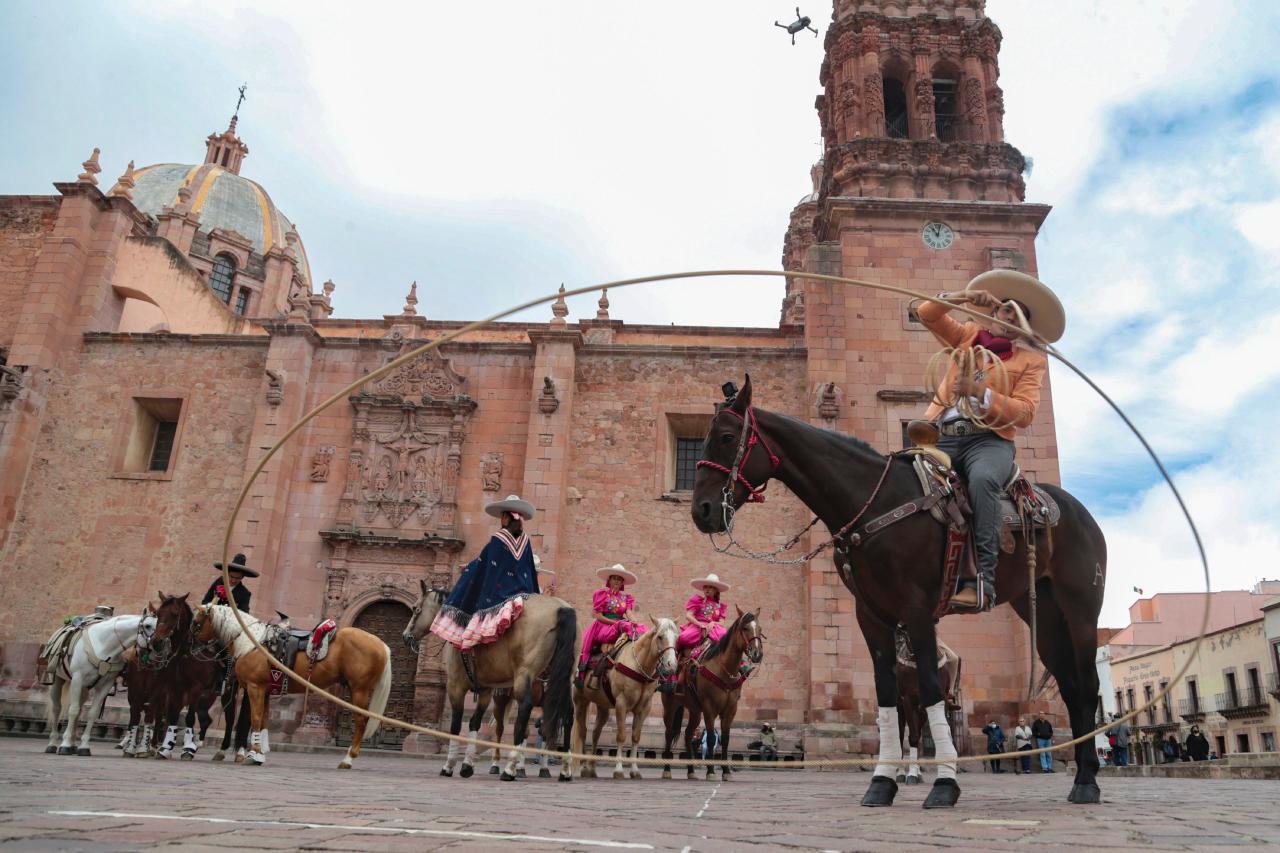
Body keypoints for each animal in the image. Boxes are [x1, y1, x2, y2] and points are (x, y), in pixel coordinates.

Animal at [192, 601, 391, 768]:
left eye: (196, 623)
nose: (191, 649)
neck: (252, 642)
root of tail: (381, 644)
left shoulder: (255, 687)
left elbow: (255, 719)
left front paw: (254, 752)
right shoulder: (265, 690)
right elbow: (263, 721)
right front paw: (259, 754)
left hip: (359, 689)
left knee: (361, 721)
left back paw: (348, 759)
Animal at [404, 581, 576, 778]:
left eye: (416, 608)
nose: (405, 636)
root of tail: (561, 608)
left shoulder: (455, 687)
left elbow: (456, 726)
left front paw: (449, 766)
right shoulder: (485, 690)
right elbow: (474, 723)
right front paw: (467, 765)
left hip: (521, 679)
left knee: (519, 716)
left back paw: (509, 769)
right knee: (566, 715)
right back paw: (564, 770)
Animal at [576, 617, 686, 778]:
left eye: (677, 638)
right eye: (660, 637)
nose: (671, 665)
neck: (639, 666)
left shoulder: (644, 709)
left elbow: (635, 737)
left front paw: (634, 770)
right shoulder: (621, 704)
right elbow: (621, 736)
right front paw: (618, 770)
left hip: (602, 704)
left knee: (595, 732)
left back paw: (591, 768)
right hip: (580, 699)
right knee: (582, 731)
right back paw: (582, 766)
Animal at [660, 604, 757, 778]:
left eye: (759, 629)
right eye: (745, 628)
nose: (757, 653)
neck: (724, 668)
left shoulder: (731, 710)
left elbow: (725, 739)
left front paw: (726, 771)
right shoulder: (709, 708)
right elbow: (711, 738)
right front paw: (711, 771)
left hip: (694, 710)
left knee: (688, 734)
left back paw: (691, 771)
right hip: (670, 705)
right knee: (669, 733)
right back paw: (667, 769)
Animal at [696, 373, 1105, 804]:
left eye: (726, 436)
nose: (701, 509)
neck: (875, 504)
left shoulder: (918, 611)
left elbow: (930, 693)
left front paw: (944, 783)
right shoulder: (871, 617)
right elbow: (886, 698)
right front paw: (882, 782)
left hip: (1081, 608)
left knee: (1088, 686)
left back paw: (1087, 781)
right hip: (1040, 612)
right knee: (1070, 686)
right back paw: (1080, 777)